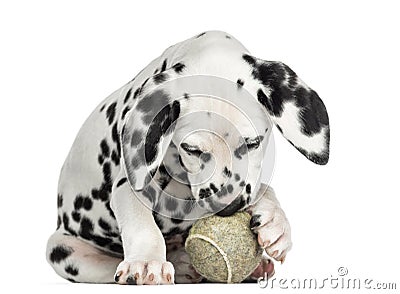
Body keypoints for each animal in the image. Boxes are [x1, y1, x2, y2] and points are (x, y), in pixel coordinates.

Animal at [47, 30, 330, 284]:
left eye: (253, 142)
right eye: (192, 149)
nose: (228, 207)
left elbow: (265, 189)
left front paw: (276, 222)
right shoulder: (128, 183)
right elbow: (140, 220)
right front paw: (147, 260)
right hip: (61, 250)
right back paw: (181, 265)